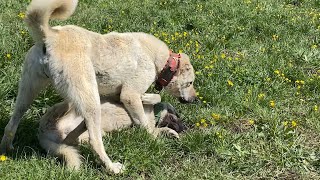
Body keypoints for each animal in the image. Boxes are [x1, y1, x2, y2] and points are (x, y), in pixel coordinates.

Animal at [38, 93, 184, 169]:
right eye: (177, 116)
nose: (185, 128)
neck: (154, 114)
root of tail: (42, 135)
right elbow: (157, 97)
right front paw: (148, 98)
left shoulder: (146, 129)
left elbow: (158, 131)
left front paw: (170, 133)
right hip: (60, 109)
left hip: (85, 136)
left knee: (73, 138)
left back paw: (85, 125)